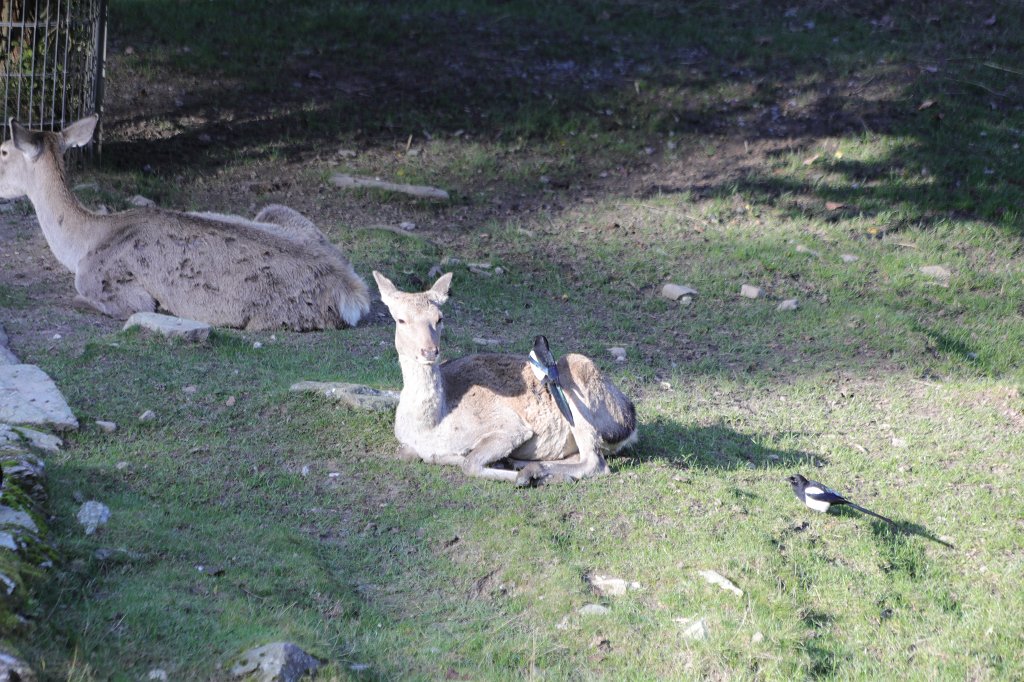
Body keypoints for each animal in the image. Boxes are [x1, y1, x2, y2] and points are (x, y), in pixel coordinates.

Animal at [0, 115, 370, 331]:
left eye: (3, 150)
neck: (81, 246)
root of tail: (353, 290)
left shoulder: (113, 289)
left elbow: (79, 299)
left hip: (267, 313)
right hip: (277, 210)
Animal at [373, 270, 637, 485]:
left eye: (440, 318)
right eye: (400, 319)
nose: (429, 351)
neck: (431, 427)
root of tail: (629, 421)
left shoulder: (510, 427)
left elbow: (470, 463)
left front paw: (517, 475)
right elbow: (409, 454)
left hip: (577, 385)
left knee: (596, 462)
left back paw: (533, 472)